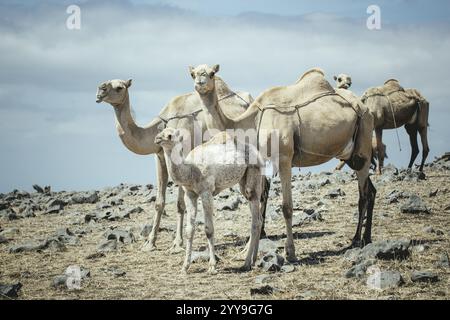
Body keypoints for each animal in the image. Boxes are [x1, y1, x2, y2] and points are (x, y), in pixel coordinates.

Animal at [94, 74, 251, 252]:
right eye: (106, 84)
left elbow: (179, 204)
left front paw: (177, 243)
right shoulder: (160, 158)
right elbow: (159, 202)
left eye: (120, 87)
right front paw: (150, 243)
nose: (100, 90)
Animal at [155, 127, 264, 272]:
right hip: (243, 181)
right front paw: (185, 266)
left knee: (255, 220)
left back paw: (246, 263)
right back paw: (254, 259)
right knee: (258, 218)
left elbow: (208, 229)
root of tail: (258, 153)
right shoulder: (190, 194)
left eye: (169, 135)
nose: (157, 139)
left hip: (253, 174)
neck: (191, 170)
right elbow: (189, 230)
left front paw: (212, 265)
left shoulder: (206, 192)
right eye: (161, 132)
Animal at [192, 67, 376, 260]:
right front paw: (246, 251)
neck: (254, 121)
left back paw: (355, 240)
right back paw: (367, 238)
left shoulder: (285, 158)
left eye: (211, 73)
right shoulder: (260, 163)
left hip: (364, 137)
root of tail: (365, 107)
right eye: (193, 73)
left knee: (363, 194)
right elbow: (256, 204)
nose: (200, 83)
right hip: (350, 155)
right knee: (371, 190)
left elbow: (286, 207)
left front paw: (290, 252)